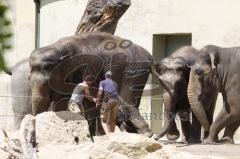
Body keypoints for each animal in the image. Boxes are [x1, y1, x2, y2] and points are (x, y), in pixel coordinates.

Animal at [29, 32, 160, 137]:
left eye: (47, 82)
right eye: (29, 78)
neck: (59, 48)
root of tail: (150, 57)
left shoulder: (87, 69)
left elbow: (89, 101)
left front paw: (95, 136)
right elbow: (63, 101)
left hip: (134, 72)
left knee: (128, 99)